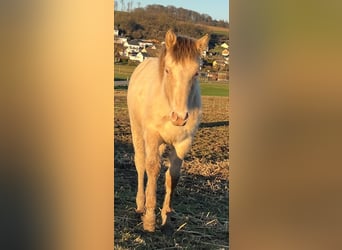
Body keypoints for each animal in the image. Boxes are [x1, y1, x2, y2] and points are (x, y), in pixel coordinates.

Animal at [127, 29, 210, 232]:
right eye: (167, 70)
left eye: (196, 73)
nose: (179, 117)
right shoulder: (152, 136)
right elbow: (152, 168)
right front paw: (150, 219)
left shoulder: (183, 142)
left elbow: (173, 175)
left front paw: (166, 217)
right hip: (137, 131)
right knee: (141, 164)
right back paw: (140, 205)